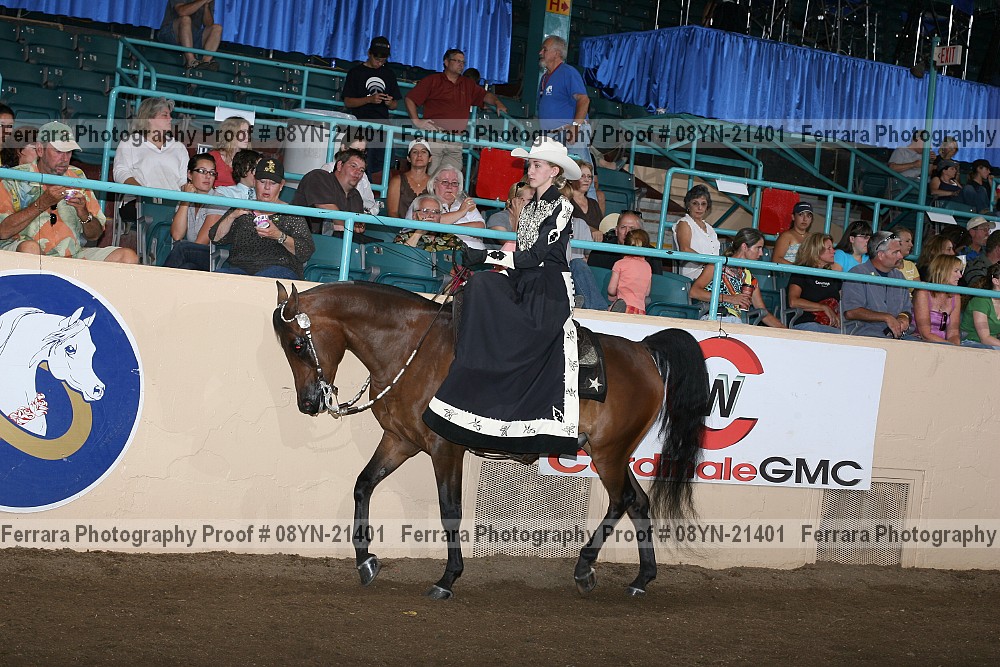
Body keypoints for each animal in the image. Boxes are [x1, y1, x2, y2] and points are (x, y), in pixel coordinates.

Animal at [273, 281, 709, 599]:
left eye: (297, 344)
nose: (308, 403)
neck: (415, 350)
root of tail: (643, 350)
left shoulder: (444, 448)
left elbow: (450, 509)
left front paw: (447, 578)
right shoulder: (400, 440)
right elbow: (363, 485)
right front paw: (365, 561)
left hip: (608, 452)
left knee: (622, 500)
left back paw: (585, 568)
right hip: (613, 452)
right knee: (639, 502)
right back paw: (641, 579)